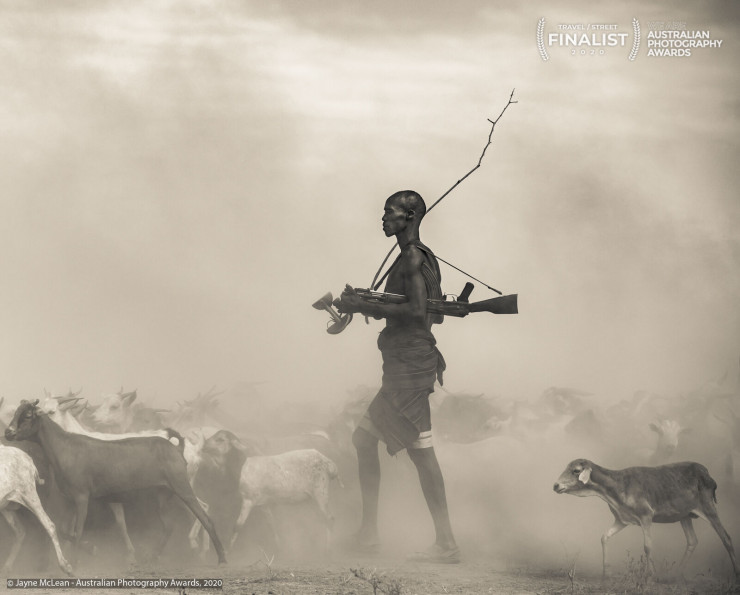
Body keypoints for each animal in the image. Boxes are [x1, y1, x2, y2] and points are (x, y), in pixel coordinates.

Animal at [0, 445, 72, 575]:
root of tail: (28, 458)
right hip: (6, 505)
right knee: (20, 531)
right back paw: (7, 567)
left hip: (29, 495)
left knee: (49, 525)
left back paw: (65, 566)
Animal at [5, 399, 226, 567]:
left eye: (28, 415)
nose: (7, 432)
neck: (64, 446)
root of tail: (177, 447)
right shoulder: (71, 499)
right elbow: (65, 529)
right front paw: (88, 551)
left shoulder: (82, 496)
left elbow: (77, 531)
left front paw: (76, 561)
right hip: (163, 493)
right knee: (169, 525)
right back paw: (152, 557)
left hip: (182, 487)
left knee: (205, 518)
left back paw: (221, 559)